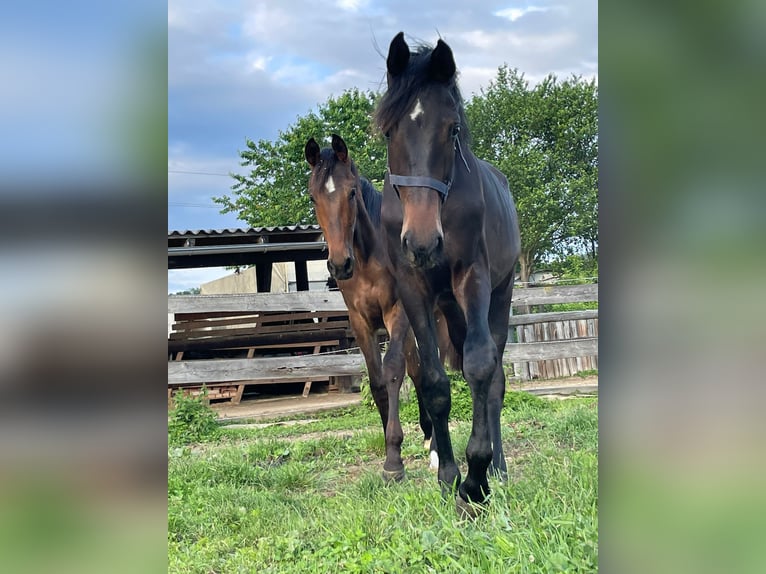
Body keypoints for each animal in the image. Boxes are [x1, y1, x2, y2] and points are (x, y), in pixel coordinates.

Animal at [304, 134, 462, 482]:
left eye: (351, 192)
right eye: (313, 198)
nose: (339, 264)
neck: (367, 260)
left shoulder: (397, 313)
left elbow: (391, 372)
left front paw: (394, 460)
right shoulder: (360, 322)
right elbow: (377, 380)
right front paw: (393, 450)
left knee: (430, 367)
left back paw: (435, 450)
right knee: (417, 369)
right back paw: (428, 436)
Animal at [376, 33, 520, 516]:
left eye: (453, 129)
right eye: (388, 130)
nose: (423, 243)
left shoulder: (471, 277)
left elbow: (478, 367)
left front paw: (475, 482)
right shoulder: (413, 288)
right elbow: (435, 382)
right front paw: (448, 476)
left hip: (499, 297)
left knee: (494, 380)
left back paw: (499, 470)